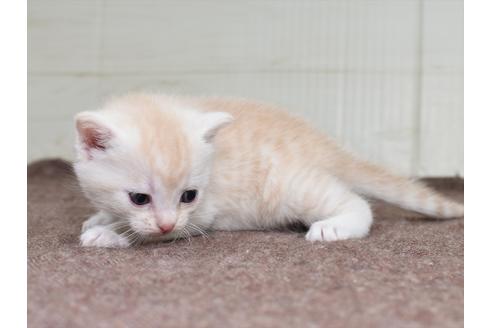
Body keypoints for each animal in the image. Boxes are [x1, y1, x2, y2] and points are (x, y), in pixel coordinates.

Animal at [73, 93, 462, 247]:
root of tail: (323, 143)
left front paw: (109, 235)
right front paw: (103, 219)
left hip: (292, 188)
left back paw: (335, 226)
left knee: (357, 204)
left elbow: (154, 233)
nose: (168, 222)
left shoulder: (201, 216)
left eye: (189, 196)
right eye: (139, 198)